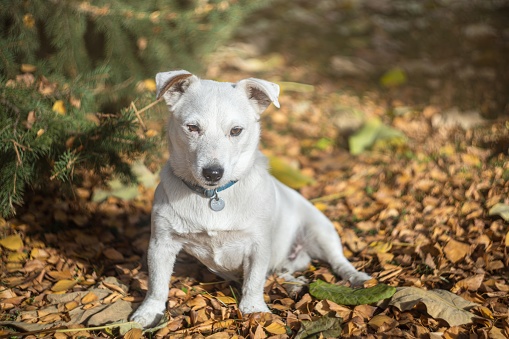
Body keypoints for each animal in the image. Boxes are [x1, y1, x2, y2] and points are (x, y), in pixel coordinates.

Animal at [130, 70, 370, 328]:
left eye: (236, 130)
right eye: (192, 127)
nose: (213, 173)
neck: (214, 195)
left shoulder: (258, 245)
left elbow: (254, 280)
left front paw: (254, 309)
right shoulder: (161, 243)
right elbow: (157, 284)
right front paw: (149, 312)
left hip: (320, 231)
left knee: (338, 261)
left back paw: (356, 276)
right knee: (283, 270)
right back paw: (292, 283)